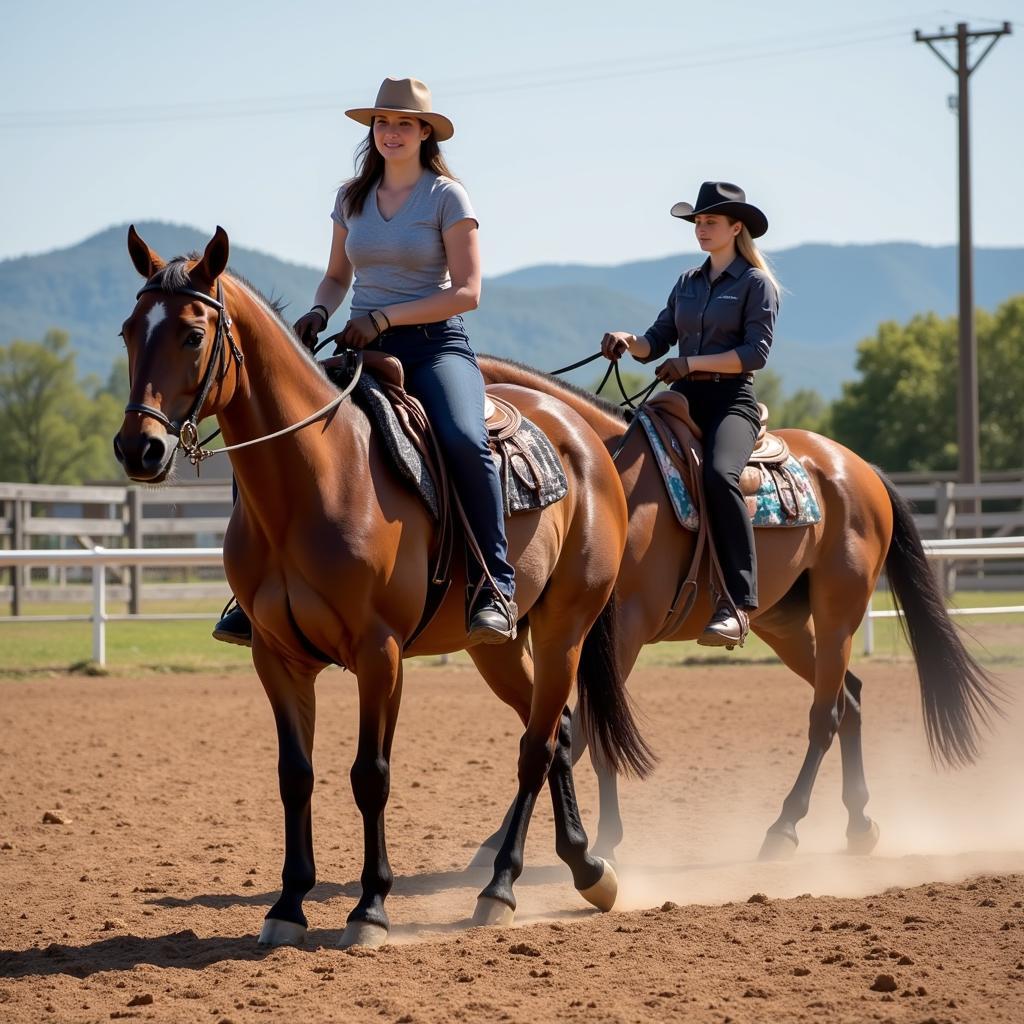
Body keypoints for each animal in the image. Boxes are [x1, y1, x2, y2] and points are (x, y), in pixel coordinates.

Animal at [114, 228, 655, 946]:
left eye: (192, 334)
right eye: (128, 331)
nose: (138, 448)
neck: (316, 478)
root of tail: (585, 439)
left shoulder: (380, 654)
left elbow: (370, 775)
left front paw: (370, 906)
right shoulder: (275, 657)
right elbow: (296, 776)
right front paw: (288, 905)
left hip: (565, 627)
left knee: (536, 748)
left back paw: (501, 888)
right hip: (498, 647)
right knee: (560, 732)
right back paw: (585, 866)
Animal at [473, 360, 999, 864]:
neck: (603, 479)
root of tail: (858, 467)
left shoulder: (620, 632)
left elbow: (589, 731)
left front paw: (599, 842)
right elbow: (567, 727)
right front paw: (508, 841)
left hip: (839, 614)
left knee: (825, 715)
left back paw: (784, 829)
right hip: (785, 625)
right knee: (848, 699)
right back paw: (858, 824)